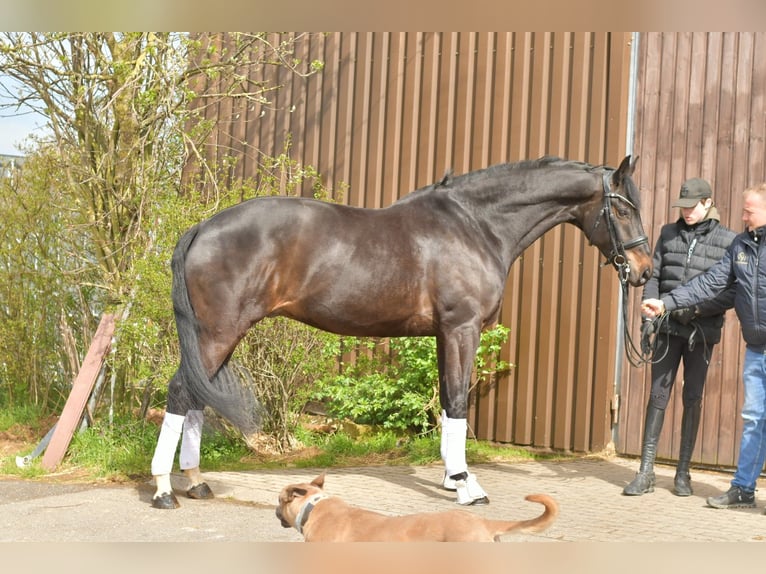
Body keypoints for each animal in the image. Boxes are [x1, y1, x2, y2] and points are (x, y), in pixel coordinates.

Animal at [150, 155, 652, 509]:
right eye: (625, 209)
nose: (644, 270)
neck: (476, 226)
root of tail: (202, 228)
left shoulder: (444, 335)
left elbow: (448, 404)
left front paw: (452, 479)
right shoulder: (462, 329)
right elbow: (457, 402)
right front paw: (467, 487)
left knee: (196, 395)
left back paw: (195, 482)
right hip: (219, 331)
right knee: (180, 393)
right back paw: (164, 490)